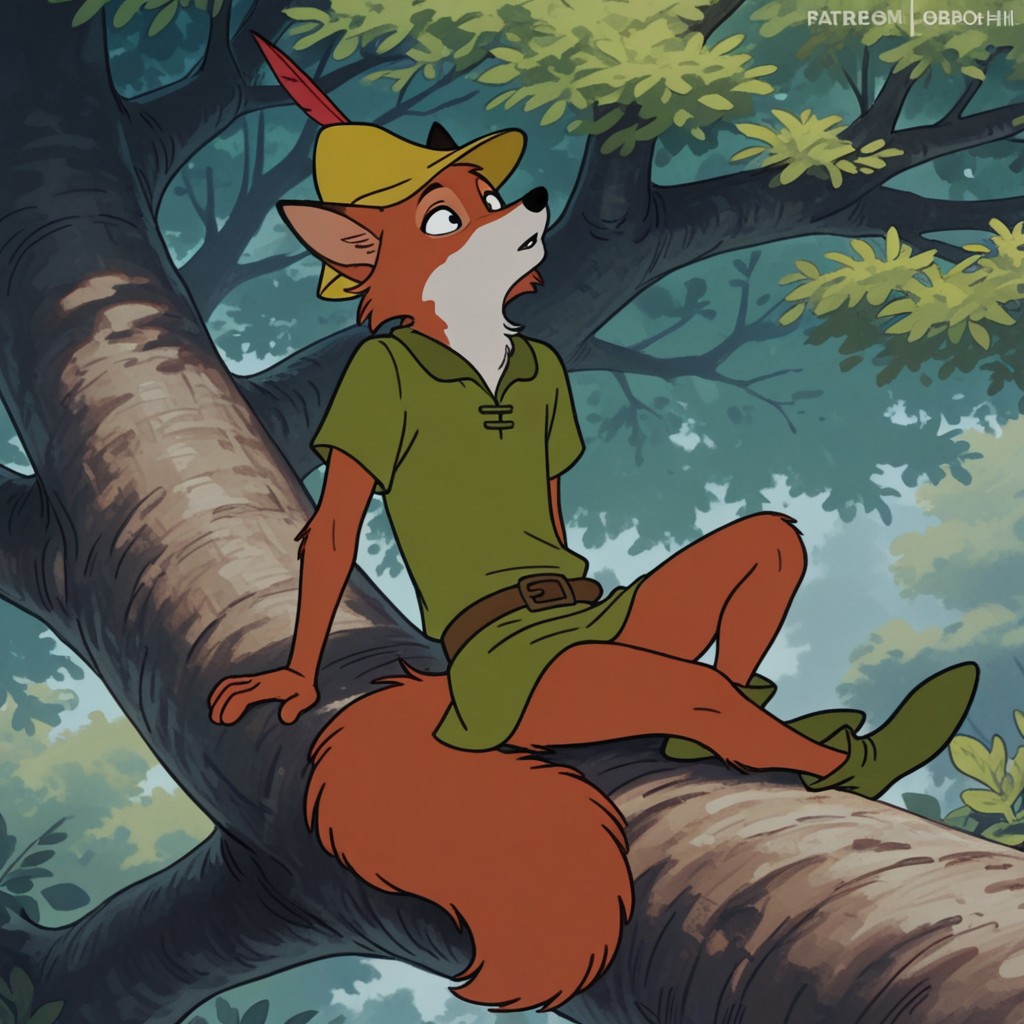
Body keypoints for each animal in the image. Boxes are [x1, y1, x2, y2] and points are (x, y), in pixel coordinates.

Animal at [209, 34, 980, 1013]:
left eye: (489, 194)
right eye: (441, 218)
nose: (535, 199)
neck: (471, 339)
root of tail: (448, 707)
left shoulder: (545, 389)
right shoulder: (367, 392)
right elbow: (339, 524)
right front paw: (290, 680)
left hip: (638, 626)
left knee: (767, 549)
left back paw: (770, 724)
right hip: (559, 690)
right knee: (692, 690)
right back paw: (833, 752)